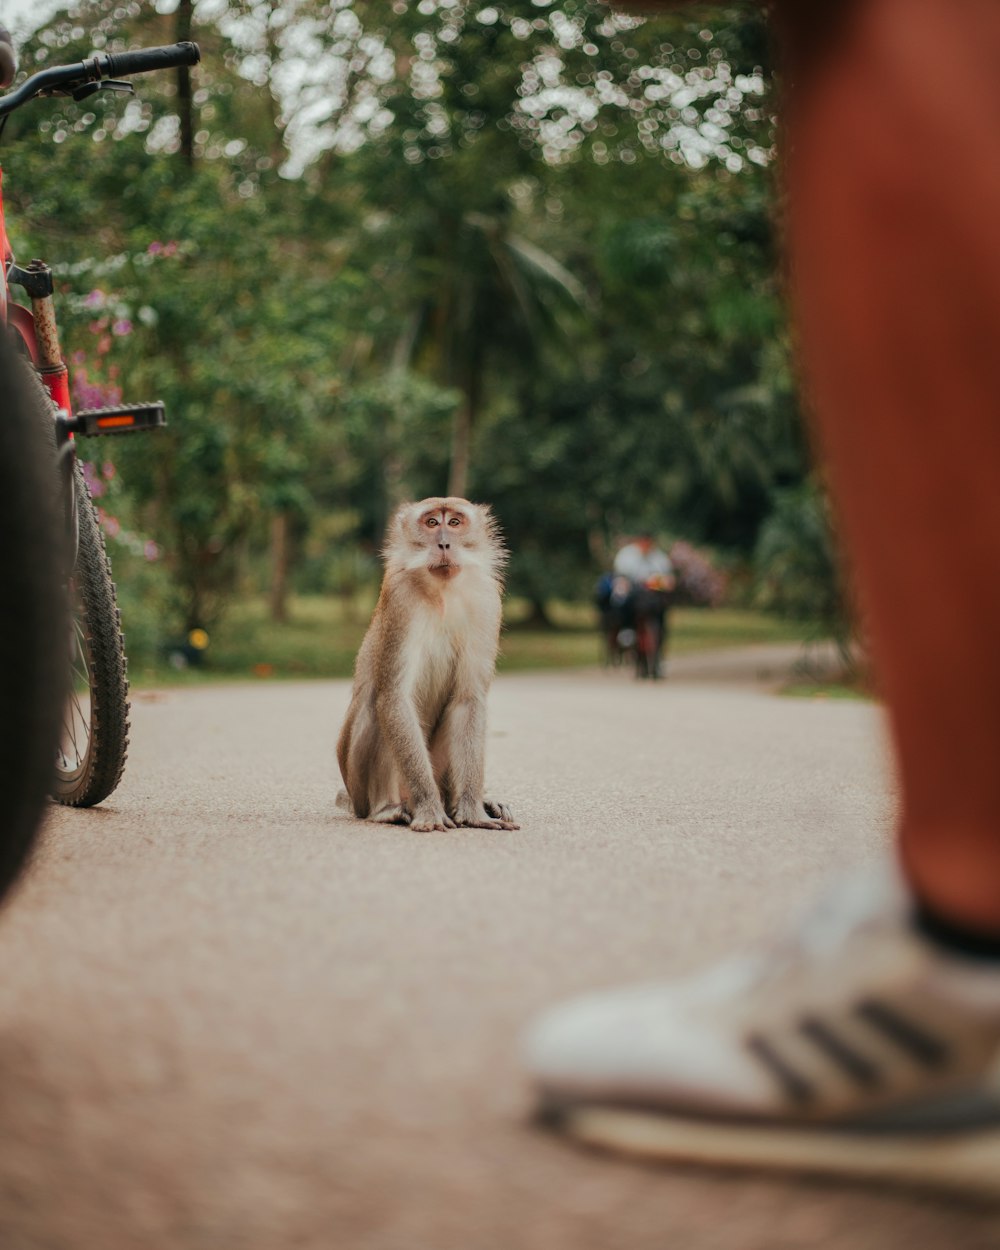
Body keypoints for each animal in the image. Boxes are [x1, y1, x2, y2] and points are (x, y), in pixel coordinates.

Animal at [337, 495, 520, 830]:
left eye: (455, 522)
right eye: (432, 522)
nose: (444, 543)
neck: (443, 590)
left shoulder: (487, 600)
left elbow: (468, 699)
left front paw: (473, 811)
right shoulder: (400, 597)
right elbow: (394, 697)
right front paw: (429, 809)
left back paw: (461, 804)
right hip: (360, 790)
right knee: (376, 705)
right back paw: (389, 808)